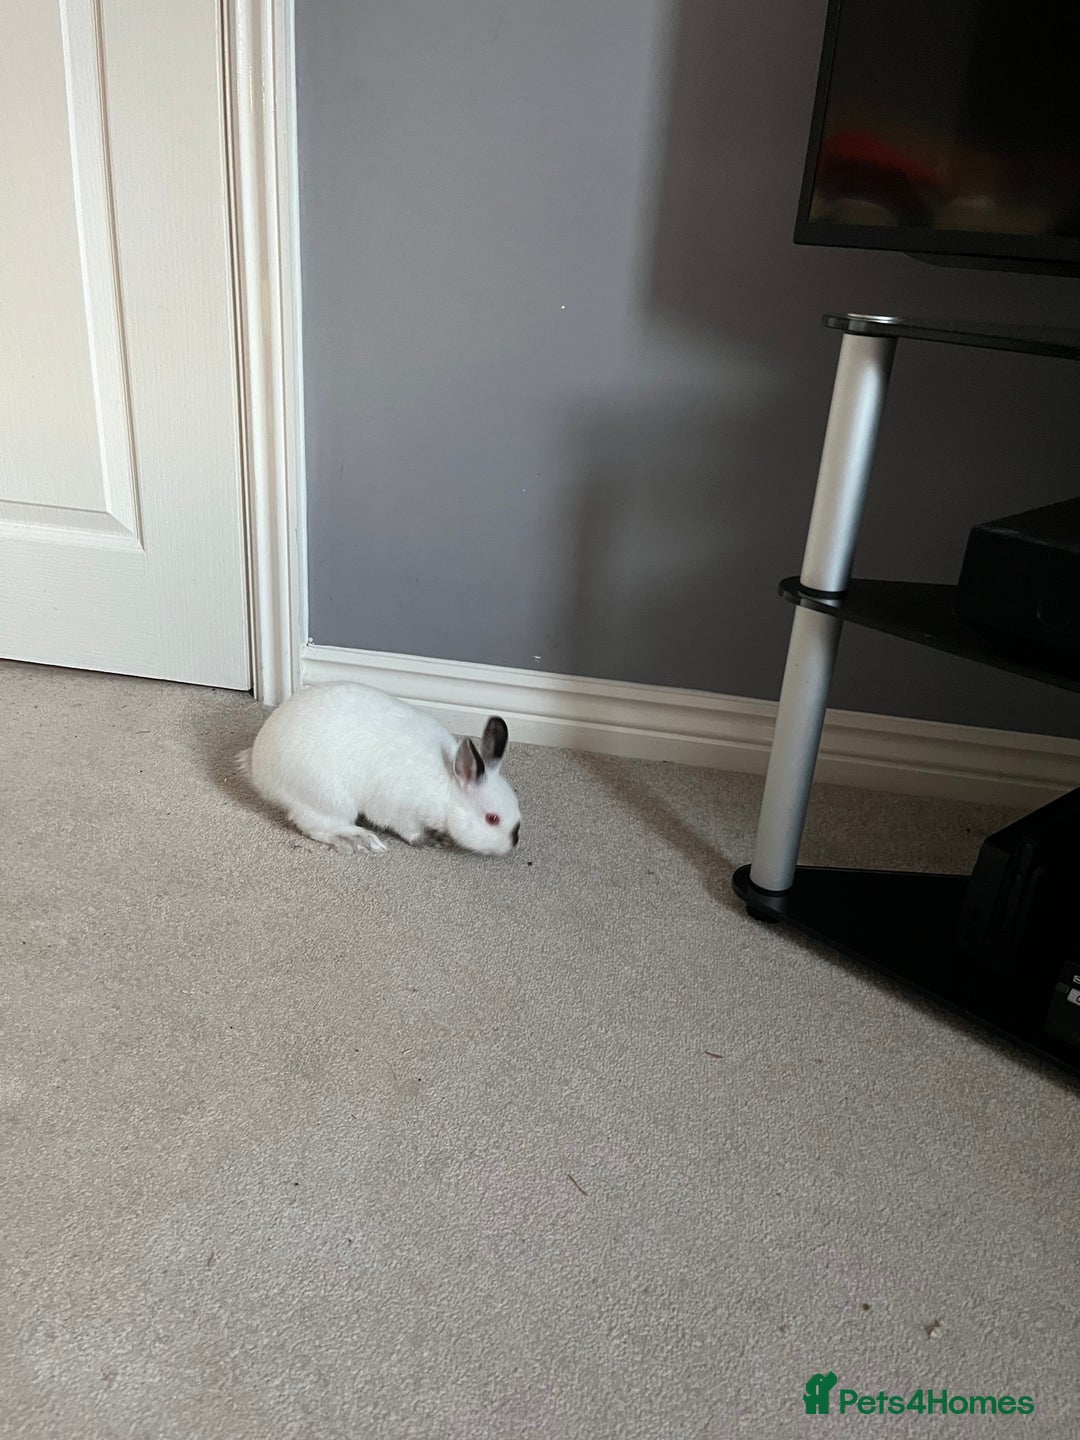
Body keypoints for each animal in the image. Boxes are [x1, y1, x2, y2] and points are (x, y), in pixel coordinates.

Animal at [238, 681, 521, 857]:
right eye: (492, 819)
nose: (514, 841)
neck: (449, 789)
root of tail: (259, 767)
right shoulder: (402, 810)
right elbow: (410, 831)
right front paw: (432, 840)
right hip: (328, 799)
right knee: (315, 827)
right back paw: (360, 840)